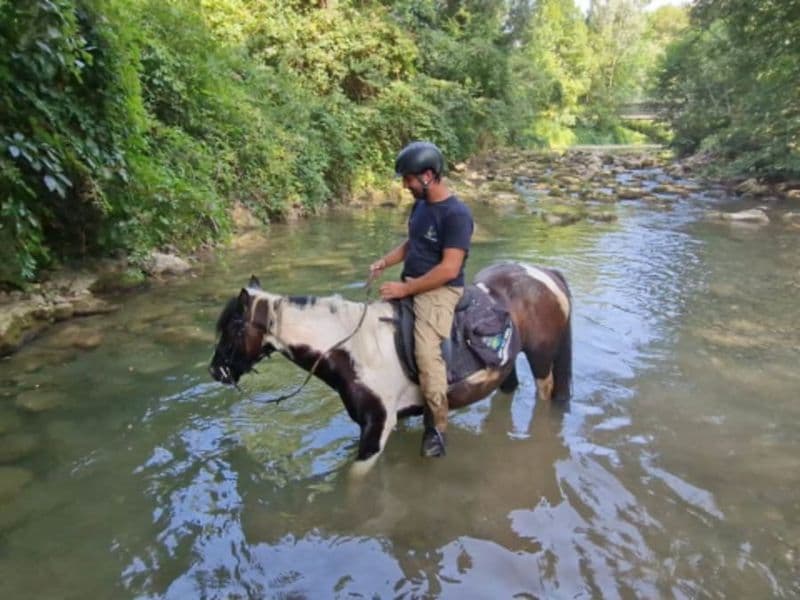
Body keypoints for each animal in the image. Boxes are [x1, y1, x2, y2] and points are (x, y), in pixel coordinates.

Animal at [209, 261, 572, 476]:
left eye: (234, 327)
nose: (216, 371)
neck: (354, 350)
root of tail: (544, 274)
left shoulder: (377, 428)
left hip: (541, 359)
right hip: (505, 366)